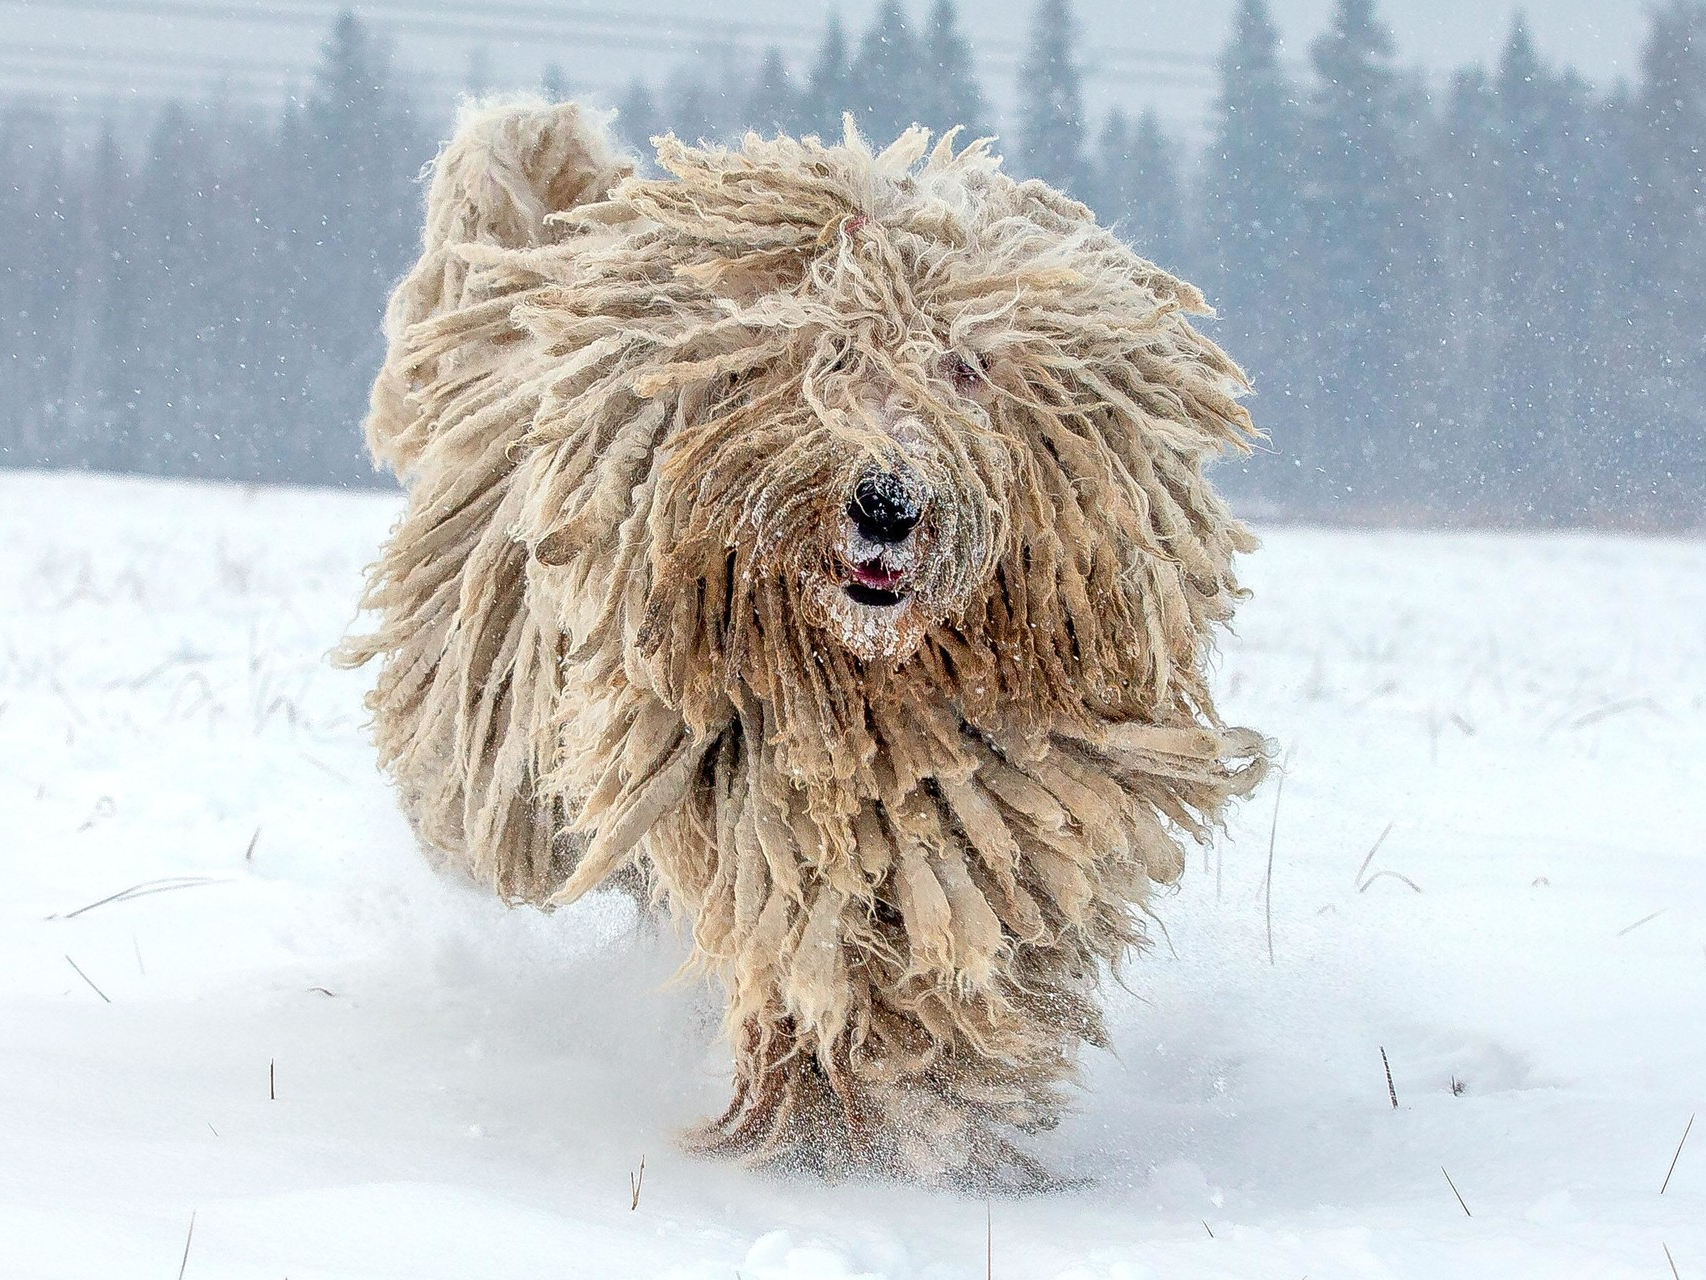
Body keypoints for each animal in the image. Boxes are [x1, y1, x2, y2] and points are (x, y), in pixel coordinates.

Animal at [336, 102, 1269, 1194]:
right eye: (829, 359)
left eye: (964, 366)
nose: (887, 502)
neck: (875, 679)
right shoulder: (756, 798)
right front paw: (850, 1118)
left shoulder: (1004, 800)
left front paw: (938, 1110)